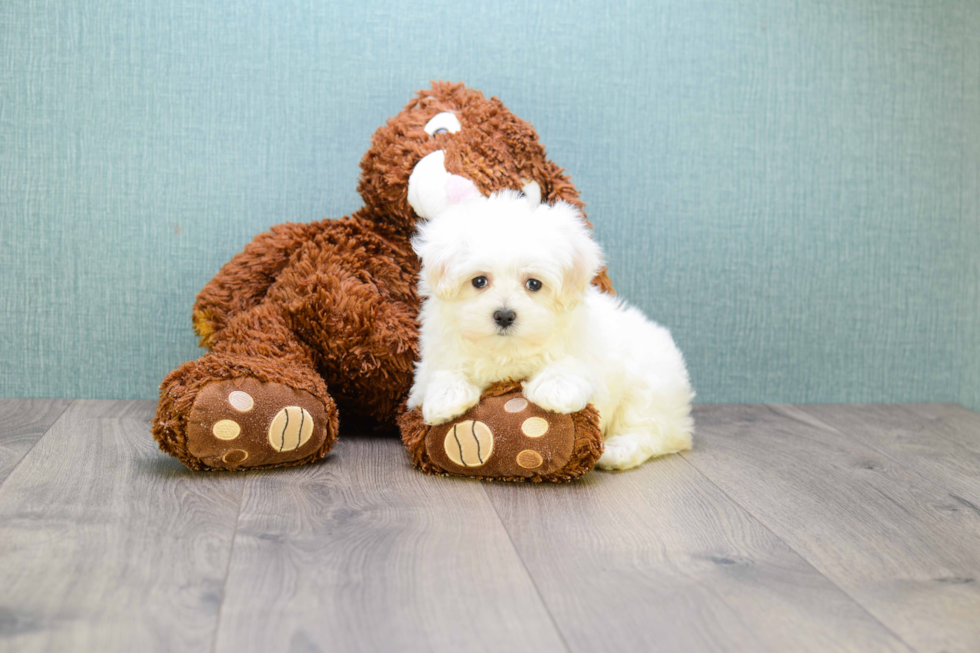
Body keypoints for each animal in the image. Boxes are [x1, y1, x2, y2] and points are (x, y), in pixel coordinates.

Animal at [406, 188, 696, 468]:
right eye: (479, 281)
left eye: (534, 284)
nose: (504, 315)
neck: (507, 350)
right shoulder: (436, 354)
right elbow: (438, 372)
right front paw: (447, 397)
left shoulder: (590, 357)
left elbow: (573, 364)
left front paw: (555, 389)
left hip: (649, 389)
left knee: (649, 430)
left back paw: (617, 451)